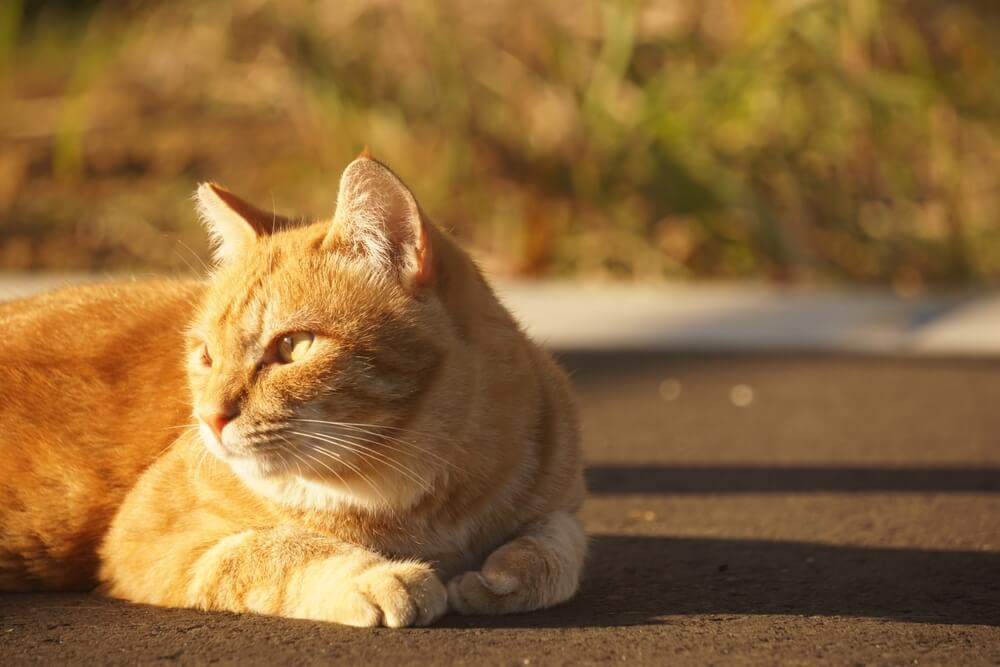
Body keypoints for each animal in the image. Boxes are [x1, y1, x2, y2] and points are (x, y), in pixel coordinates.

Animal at [0, 153, 584, 628]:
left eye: (293, 347)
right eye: (205, 354)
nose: (210, 417)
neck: (427, 502)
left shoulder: (561, 500)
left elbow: (558, 549)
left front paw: (501, 574)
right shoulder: (146, 540)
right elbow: (273, 550)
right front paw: (376, 576)